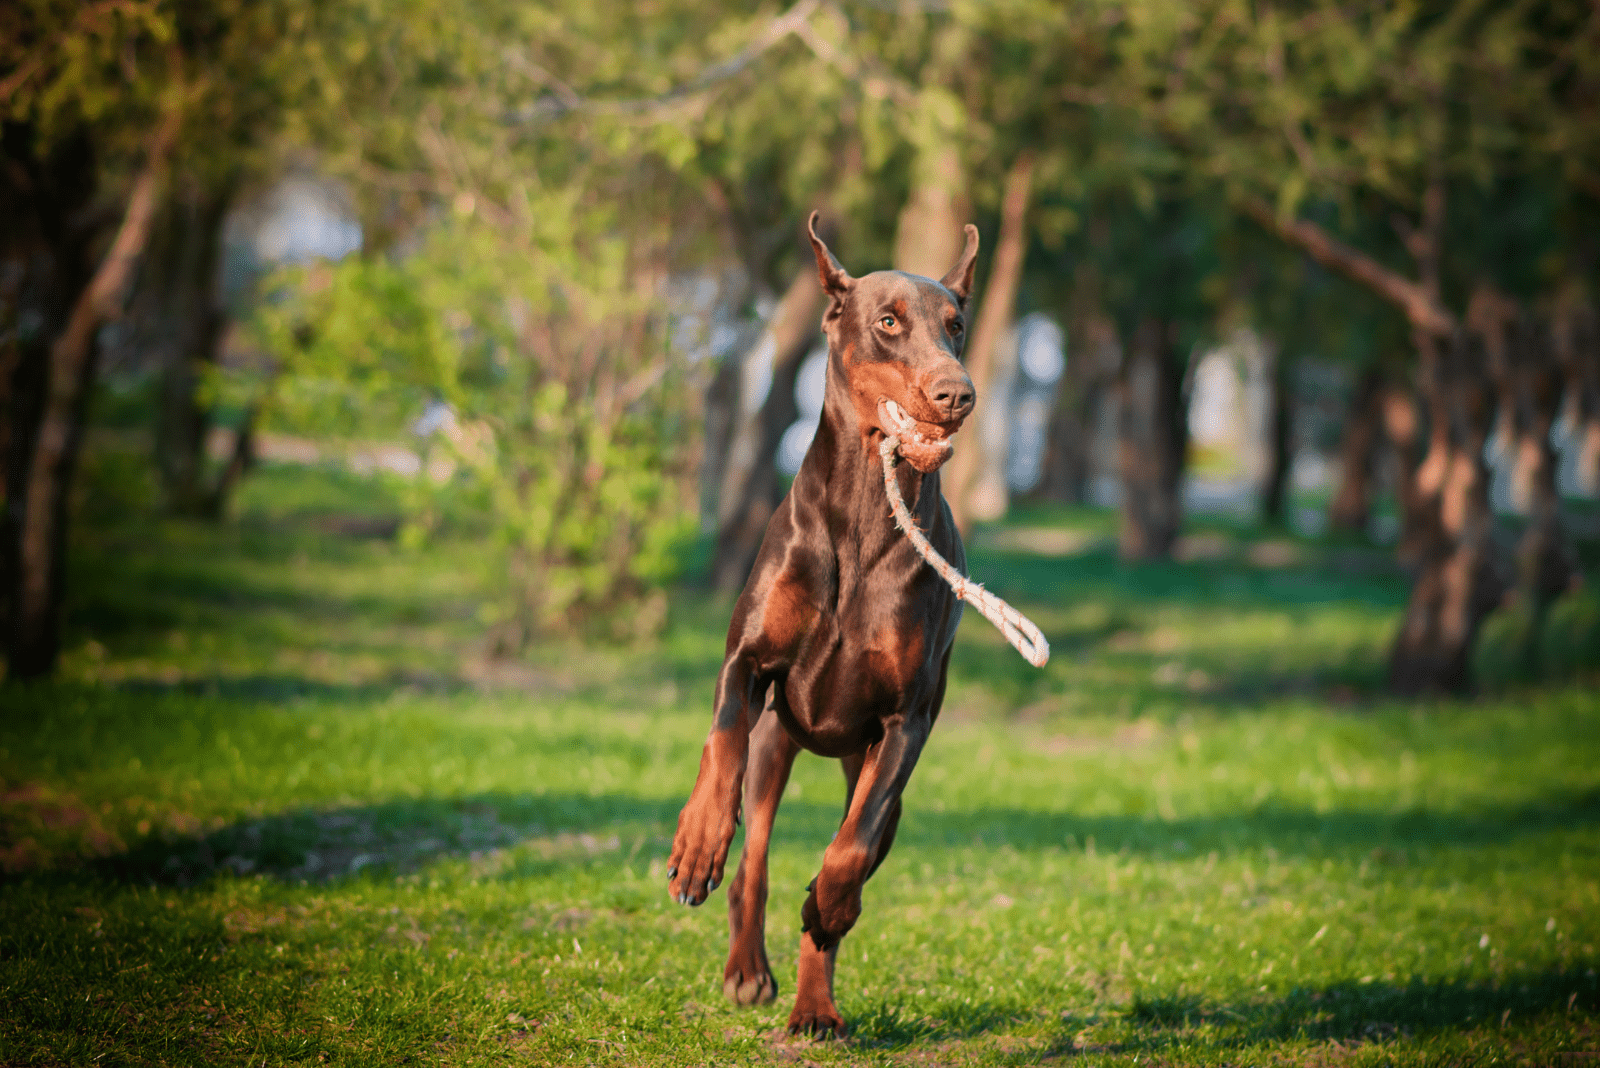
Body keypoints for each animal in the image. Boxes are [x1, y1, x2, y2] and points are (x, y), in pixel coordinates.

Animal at [662, 212, 972, 1036]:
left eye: (956, 325)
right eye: (888, 322)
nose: (957, 392)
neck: (864, 512)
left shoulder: (905, 721)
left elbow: (850, 851)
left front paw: (830, 905)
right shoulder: (746, 662)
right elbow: (720, 744)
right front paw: (697, 841)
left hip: (866, 770)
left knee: (849, 854)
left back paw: (814, 1002)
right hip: (778, 741)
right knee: (755, 861)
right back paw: (748, 969)